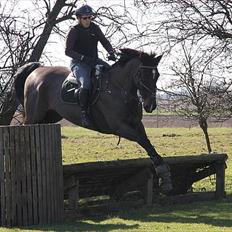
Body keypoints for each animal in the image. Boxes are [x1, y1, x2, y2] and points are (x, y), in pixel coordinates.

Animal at [13, 48, 171, 192]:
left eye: (157, 75)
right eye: (142, 75)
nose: (150, 105)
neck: (120, 88)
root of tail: (37, 70)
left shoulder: (136, 124)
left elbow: (147, 143)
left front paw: (163, 175)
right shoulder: (119, 127)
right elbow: (142, 140)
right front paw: (163, 173)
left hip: (50, 117)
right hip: (34, 116)